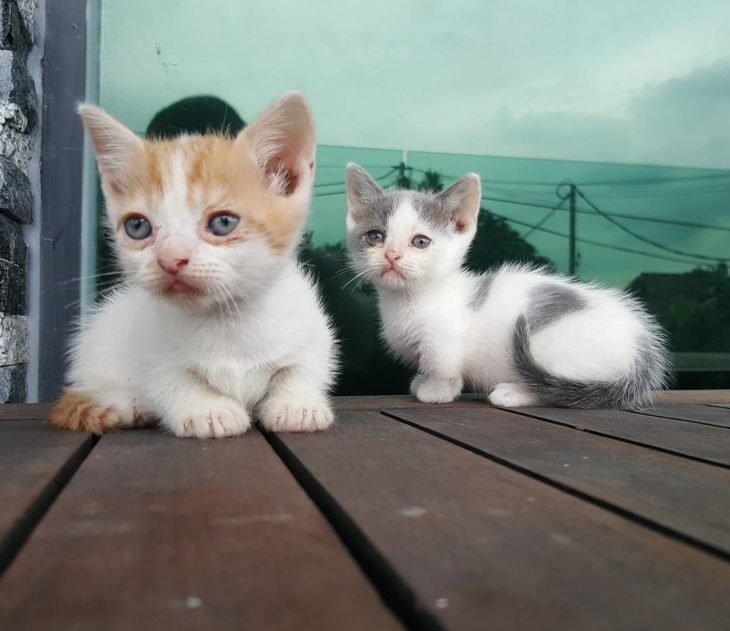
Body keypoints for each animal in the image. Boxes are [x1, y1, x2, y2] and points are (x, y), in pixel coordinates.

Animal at [50, 94, 336, 440]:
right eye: (137, 227)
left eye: (223, 222)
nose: (170, 259)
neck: (226, 320)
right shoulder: (149, 346)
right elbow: (169, 378)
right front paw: (207, 410)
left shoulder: (312, 329)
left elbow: (305, 366)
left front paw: (297, 406)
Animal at [344, 164, 668, 410]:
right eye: (375, 236)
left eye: (421, 241)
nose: (392, 255)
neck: (408, 299)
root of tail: (642, 352)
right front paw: (422, 381)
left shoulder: (444, 340)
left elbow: (443, 368)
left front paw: (435, 391)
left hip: (549, 347)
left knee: (555, 390)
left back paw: (512, 392)